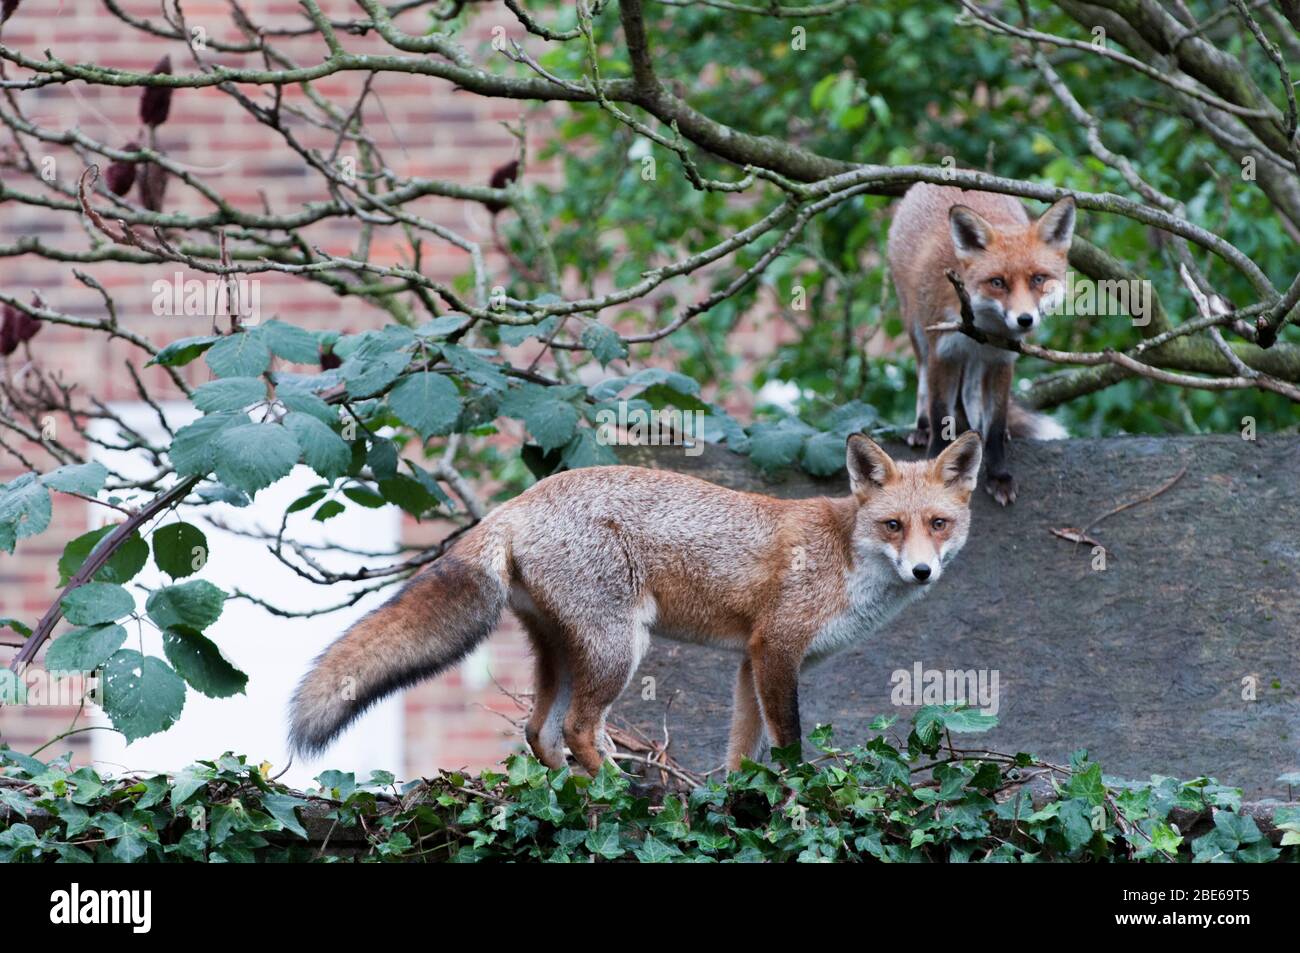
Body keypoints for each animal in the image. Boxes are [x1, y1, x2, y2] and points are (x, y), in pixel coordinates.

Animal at [289, 431, 977, 774]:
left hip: (565, 651)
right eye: (893, 525)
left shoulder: (749, 662)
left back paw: (569, 795)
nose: (922, 571)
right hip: (621, 646)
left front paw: (740, 800)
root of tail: (516, 503)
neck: (844, 555)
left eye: (938, 524)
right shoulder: (776, 649)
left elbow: (742, 748)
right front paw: (798, 797)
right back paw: (615, 791)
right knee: (575, 727)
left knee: (539, 730)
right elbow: (789, 743)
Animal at [889, 180, 1071, 504]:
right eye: (998, 282)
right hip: (915, 326)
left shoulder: (1002, 358)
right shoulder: (943, 353)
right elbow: (940, 414)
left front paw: (998, 475)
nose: (1025, 320)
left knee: (971, 391)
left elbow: (996, 423)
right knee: (923, 382)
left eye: (1038, 279)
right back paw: (921, 429)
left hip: (977, 359)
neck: (983, 325)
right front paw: (934, 461)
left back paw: (976, 430)